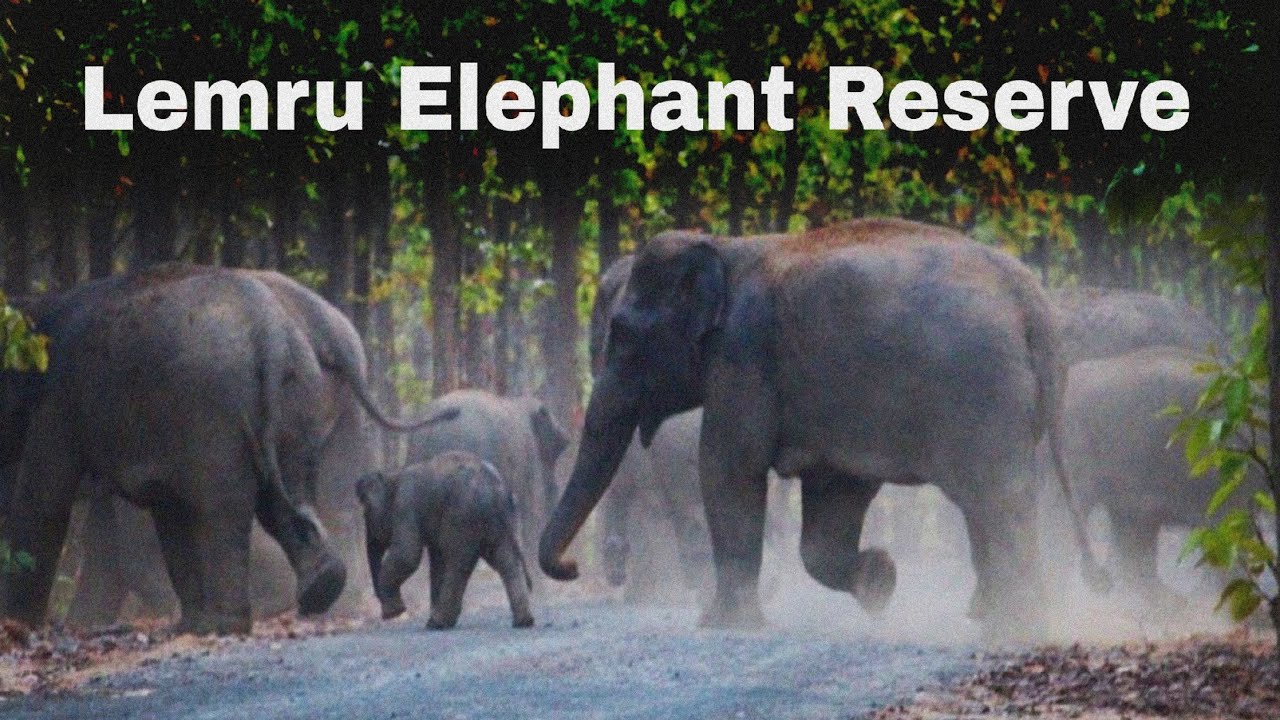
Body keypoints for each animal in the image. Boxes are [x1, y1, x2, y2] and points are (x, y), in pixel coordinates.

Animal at [0, 265, 453, 634]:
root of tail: (273, 334)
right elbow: (166, 511)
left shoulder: (59, 397)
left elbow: (44, 497)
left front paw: (16, 627)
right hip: (303, 399)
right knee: (294, 494)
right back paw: (320, 589)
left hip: (217, 409)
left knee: (227, 507)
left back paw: (230, 624)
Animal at [357, 451, 534, 629]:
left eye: (366, 512)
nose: (385, 615)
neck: (394, 475)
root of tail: (497, 489)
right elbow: (436, 560)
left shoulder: (405, 508)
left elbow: (406, 556)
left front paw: (396, 612)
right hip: (500, 523)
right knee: (506, 561)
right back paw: (523, 621)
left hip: (462, 517)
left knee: (457, 564)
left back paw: (437, 623)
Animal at [540, 218, 1107, 636]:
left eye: (620, 332)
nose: (573, 569)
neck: (723, 247)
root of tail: (1033, 304)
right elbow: (833, 496)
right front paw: (881, 582)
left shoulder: (743, 356)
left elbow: (728, 467)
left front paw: (721, 626)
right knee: (990, 501)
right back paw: (991, 615)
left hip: (982, 391)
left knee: (996, 498)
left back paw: (1014, 628)